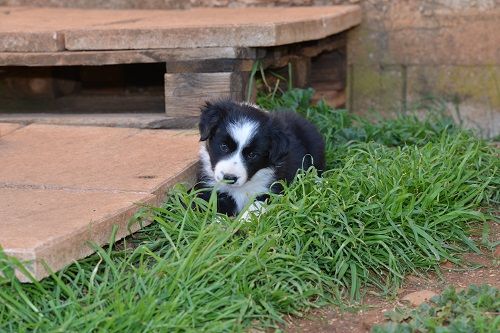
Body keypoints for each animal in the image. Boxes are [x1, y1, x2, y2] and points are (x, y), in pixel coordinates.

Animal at [195, 99, 324, 215]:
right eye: (224, 146)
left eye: (252, 155)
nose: (229, 177)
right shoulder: (208, 189)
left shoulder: (271, 190)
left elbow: (254, 207)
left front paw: (243, 221)